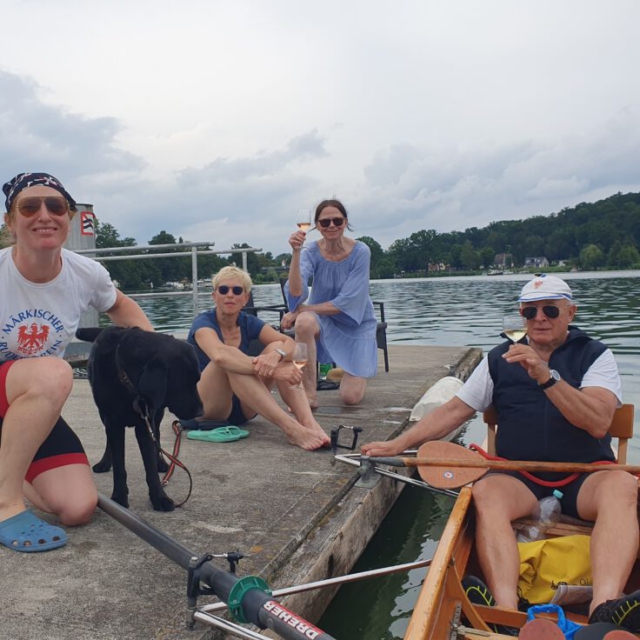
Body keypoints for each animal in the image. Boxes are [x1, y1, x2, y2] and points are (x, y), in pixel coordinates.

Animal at [78, 328, 202, 512]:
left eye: (197, 380)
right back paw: (105, 462)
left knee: (157, 437)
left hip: (157, 413)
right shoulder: (113, 423)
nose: (201, 411)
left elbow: (150, 466)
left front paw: (159, 498)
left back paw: (161, 463)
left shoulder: (145, 423)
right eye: (183, 382)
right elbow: (119, 467)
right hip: (103, 414)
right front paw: (119, 498)